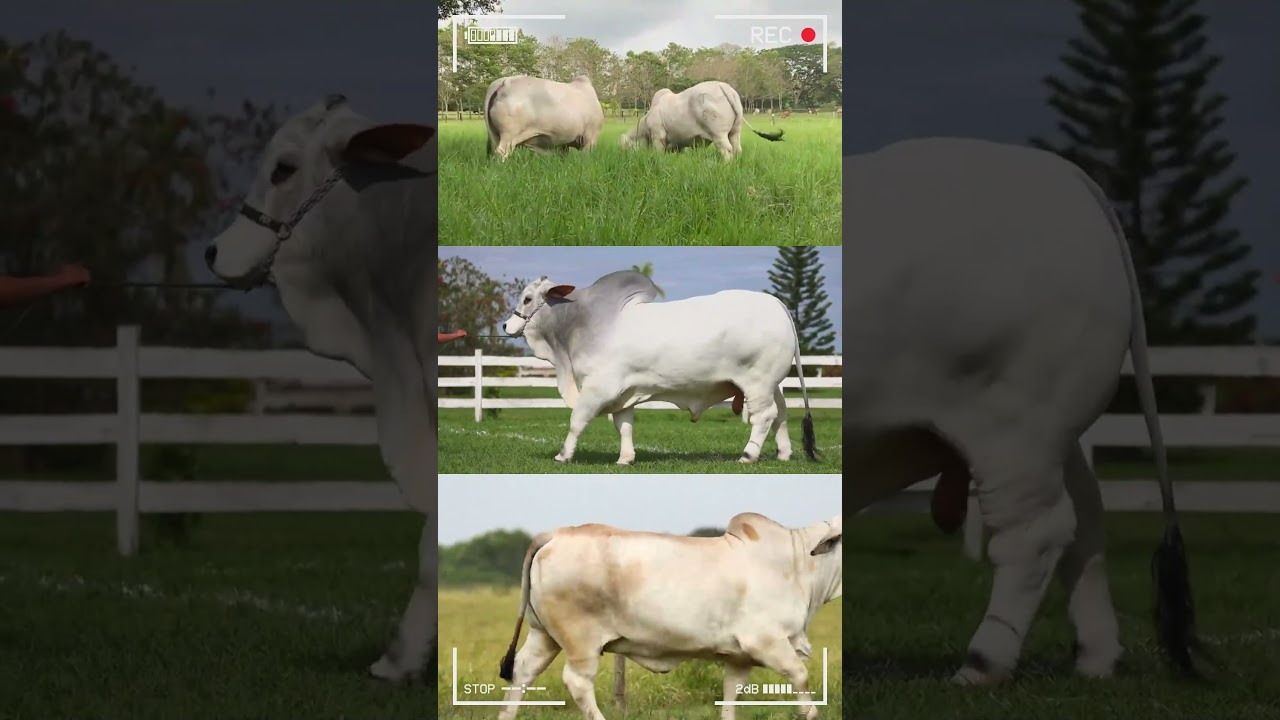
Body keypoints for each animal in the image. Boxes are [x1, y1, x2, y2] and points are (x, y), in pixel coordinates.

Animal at [496, 512, 843, 720]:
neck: (799, 564)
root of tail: (556, 534)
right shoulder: (767, 642)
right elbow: (801, 677)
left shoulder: (739, 658)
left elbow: (731, 698)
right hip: (580, 640)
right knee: (578, 682)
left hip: (544, 635)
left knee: (522, 672)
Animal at [501, 271, 818, 465]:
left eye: (527, 298)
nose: (505, 325)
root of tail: (776, 303)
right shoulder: (624, 394)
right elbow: (624, 426)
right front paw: (625, 458)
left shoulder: (598, 388)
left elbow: (577, 422)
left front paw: (563, 455)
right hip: (771, 384)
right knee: (781, 414)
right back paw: (784, 453)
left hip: (757, 382)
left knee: (764, 416)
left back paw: (748, 455)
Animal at [619, 80, 783, 161]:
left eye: (625, 146)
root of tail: (725, 87)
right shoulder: (679, 143)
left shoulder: (658, 135)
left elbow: (659, 152)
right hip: (735, 131)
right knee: (737, 148)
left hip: (719, 133)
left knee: (727, 149)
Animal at [842, 137, 1201, 684]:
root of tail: (1065, 174)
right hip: (1053, 431)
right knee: (1086, 523)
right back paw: (1095, 659)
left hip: (1013, 425)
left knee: (1036, 533)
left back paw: (982, 664)